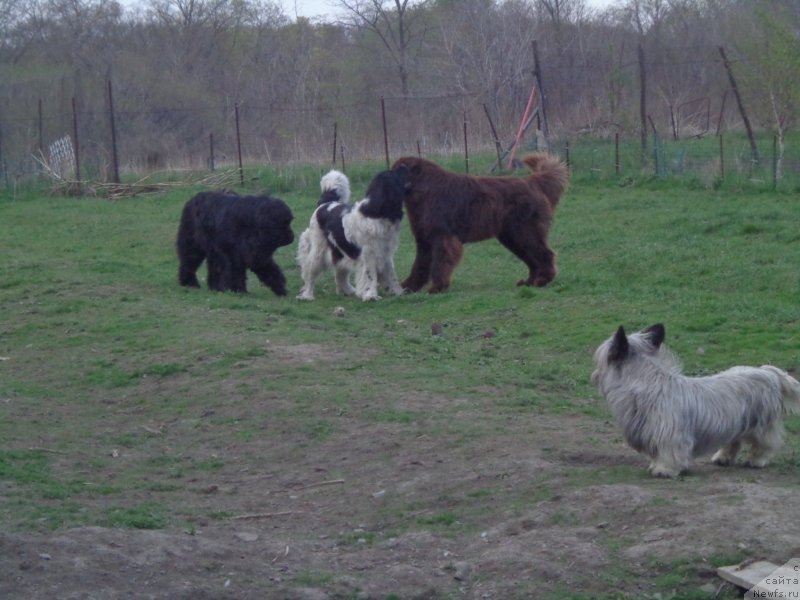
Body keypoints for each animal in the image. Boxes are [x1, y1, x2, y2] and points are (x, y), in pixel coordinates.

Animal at [296, 166, 412, 300]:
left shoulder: (385, 253)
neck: (377, 214)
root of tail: (325, 204)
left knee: (340, 273)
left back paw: (348, 291)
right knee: (309, 272)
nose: (404, 166)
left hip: (340, 252)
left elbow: (391, 275)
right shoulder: (368, 255)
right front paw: (371, 295)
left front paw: (398, 292)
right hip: (318, 251)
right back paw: (307, 295)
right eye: (395, 173)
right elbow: (370, 276)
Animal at [390, 154, 564, 294]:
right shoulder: (424, 240)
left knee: (545, 254)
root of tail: (533, 181)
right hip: (513, 237)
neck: (424, 189)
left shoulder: (442, 237)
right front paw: (408, 287)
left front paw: (438, 287)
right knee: (532, 260)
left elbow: (439, 264)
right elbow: (419, 266)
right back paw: (529, 282)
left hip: (525, 233)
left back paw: (543, 280)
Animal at [592, 324, 796, 478]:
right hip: (735, 423)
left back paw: (756, 460)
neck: (646, 383)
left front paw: (664, 469)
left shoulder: (670, 434)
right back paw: (722, 458)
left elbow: (669, 452)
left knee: (765, 444)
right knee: (733, 442)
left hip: (761, 426)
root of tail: (768, 372)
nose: (594, 375)